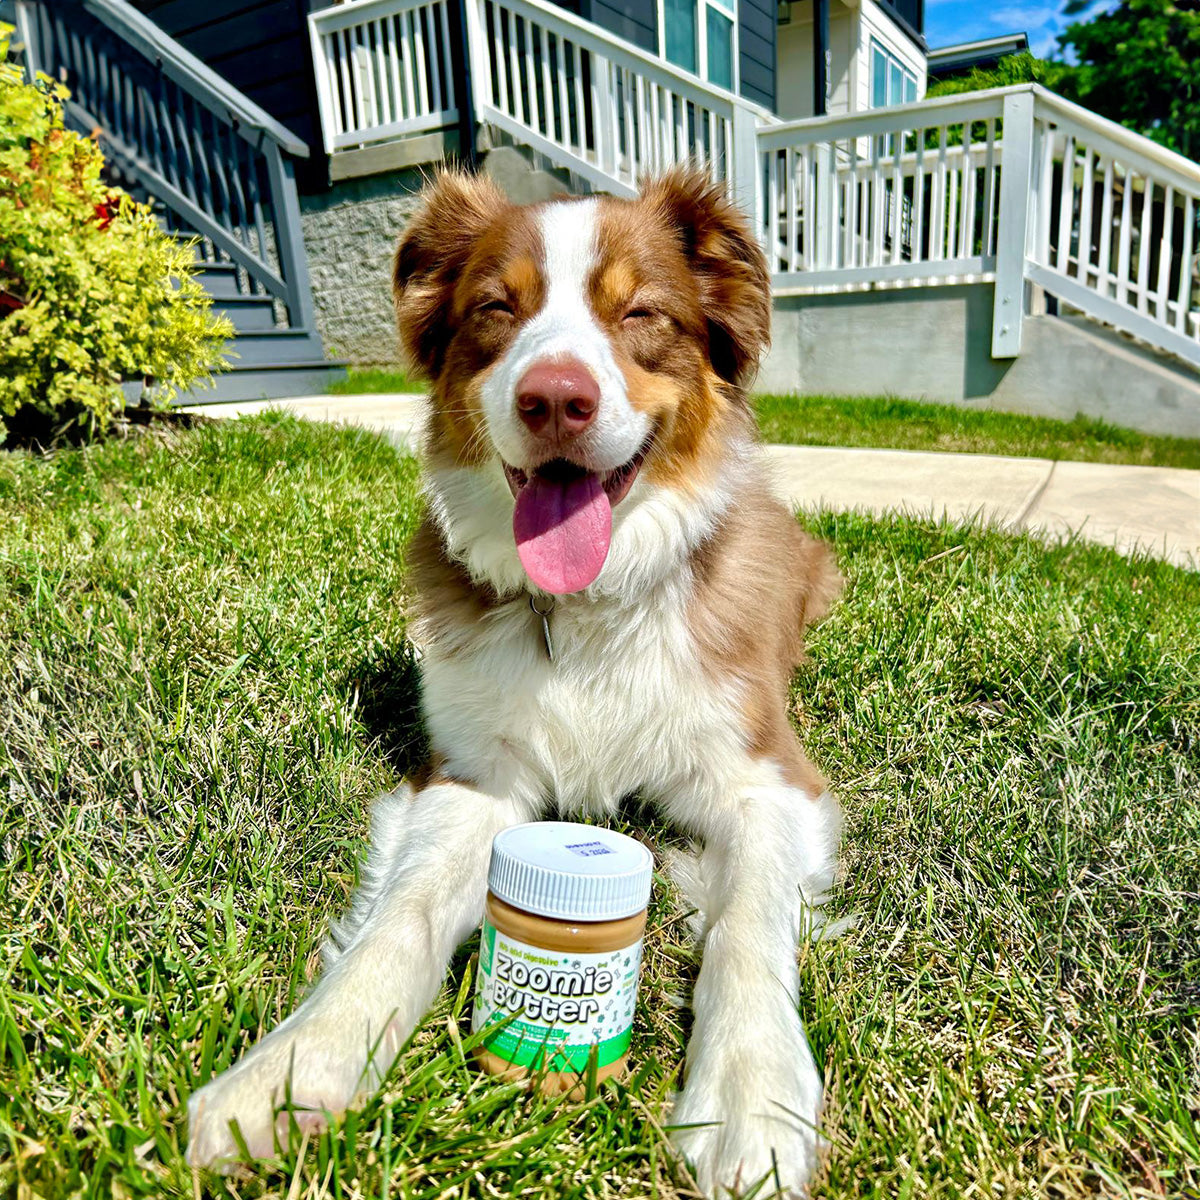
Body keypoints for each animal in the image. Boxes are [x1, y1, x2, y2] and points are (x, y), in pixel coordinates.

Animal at [184, 164, 844, 1195]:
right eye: (498, 307)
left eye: (640, 313)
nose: (555, 399)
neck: (584, 612)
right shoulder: (472, 776)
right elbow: (404, 914)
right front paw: (293, 1071)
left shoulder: (768, 777)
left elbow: (748, 923)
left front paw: (753, 1092)